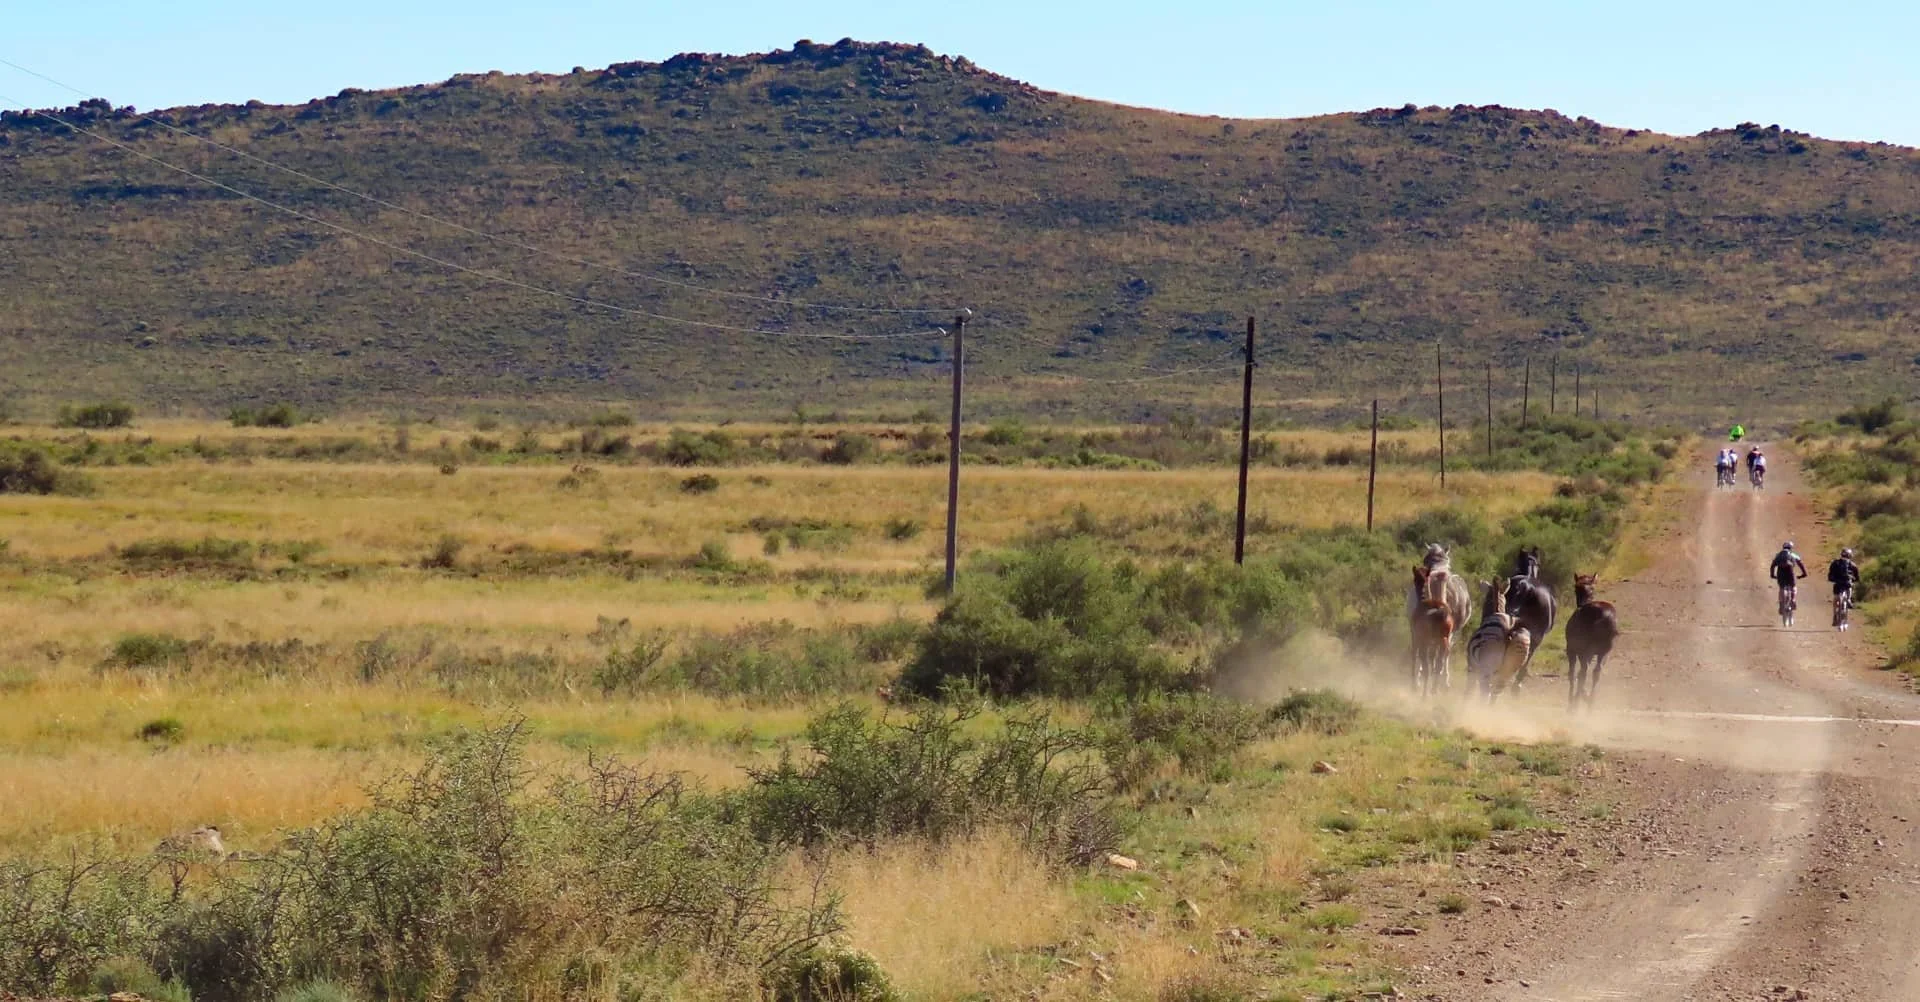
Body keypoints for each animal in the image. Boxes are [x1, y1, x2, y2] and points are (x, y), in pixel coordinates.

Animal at [1409, 566, 1456, 696]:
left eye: (1415, 577)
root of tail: (1441, 613)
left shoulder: (1415, 637)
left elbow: (1414, 657)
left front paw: (1414, 685)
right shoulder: (1433, 644)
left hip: (1426, 642)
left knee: (1427, 667)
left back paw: (1425, 694)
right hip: (1443, 642)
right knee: (1438, 665)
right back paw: (1434, 690)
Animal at [1564, 572, 1619, 709]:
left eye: (1575, 588)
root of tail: (1606, 618)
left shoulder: (1571, 649)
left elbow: (1572, 673)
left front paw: (1571, 701)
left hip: (1586, 650)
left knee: (1584, 672)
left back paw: (1577, 705)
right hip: (1604, 652)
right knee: (1595, 673)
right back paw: (1590, 704)